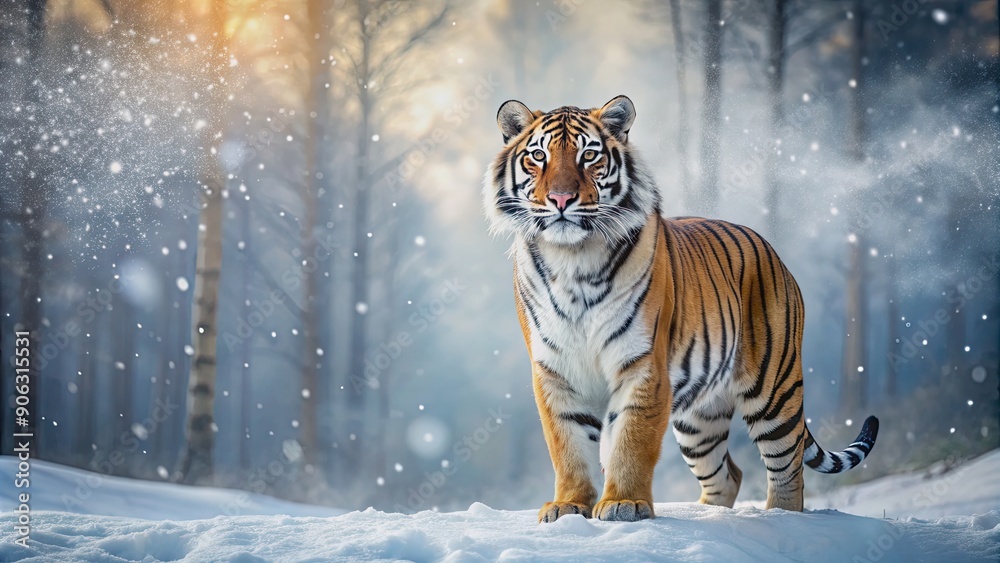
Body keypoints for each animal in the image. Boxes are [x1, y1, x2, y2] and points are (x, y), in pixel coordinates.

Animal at [483, 95, 879, 522]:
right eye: (538, 156)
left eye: (589, 155)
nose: (560, 200)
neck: (572, 258)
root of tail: (770, 247)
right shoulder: (556, 371)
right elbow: (567, 446)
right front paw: (568, 505)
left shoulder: (643, 367)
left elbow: (631, 443)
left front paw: (624, 503)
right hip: (698, 420)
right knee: (728, 475)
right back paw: (707, 516)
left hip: (775, 387)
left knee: (788, 473)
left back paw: (780, 518)